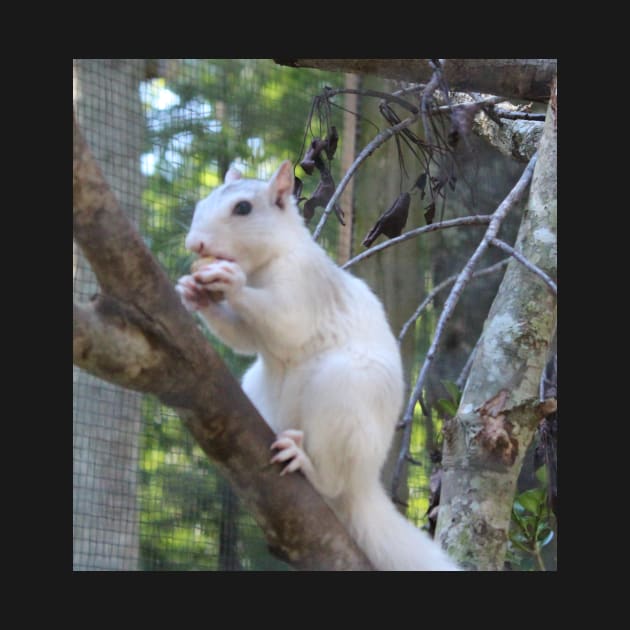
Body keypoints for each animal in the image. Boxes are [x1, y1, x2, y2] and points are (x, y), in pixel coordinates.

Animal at [177, 159, 460, 572]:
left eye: (243, 208)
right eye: (202, 203)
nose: (194, 244)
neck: (268, 261)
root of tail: (365, 481)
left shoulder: (305, 288)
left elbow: (286, 322)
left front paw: (231, 282)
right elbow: (244, 339)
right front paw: (194, 293)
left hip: (341, 393)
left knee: (332, 484)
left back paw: (307, 465)